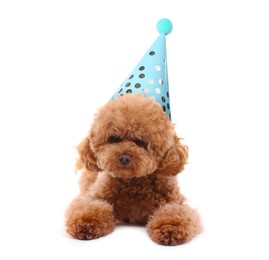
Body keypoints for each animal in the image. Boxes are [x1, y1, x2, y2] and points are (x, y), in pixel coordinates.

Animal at [65, 94, 200, 246]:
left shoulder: (174, 202)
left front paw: (170, 228)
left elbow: (175, 213)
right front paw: (86, 223)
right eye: (114, 138)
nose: (124, 158)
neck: (133, 183)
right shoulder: (93, 197)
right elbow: (89, 207)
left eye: (141, 142)